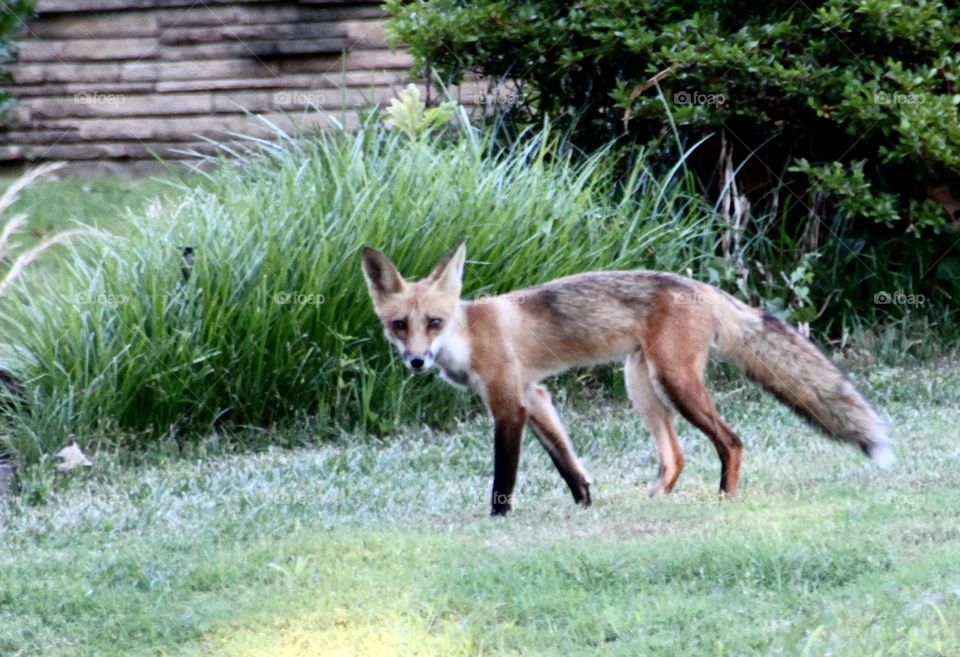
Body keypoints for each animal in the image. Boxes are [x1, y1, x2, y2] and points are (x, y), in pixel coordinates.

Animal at [360, 238, 892, 516]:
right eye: (399, 325)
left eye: (434, 323)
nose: (416, 361)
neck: (468, 333)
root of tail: (702, 287)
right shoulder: (537, 396)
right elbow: (568, 464)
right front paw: (585, 505)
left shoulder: (509, 404)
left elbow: (503, 476)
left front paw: (497, 518)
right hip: (641, 385)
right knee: (675, 458)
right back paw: (654, 501)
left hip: (674, 383)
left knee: (732, 440)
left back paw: (725, 497)